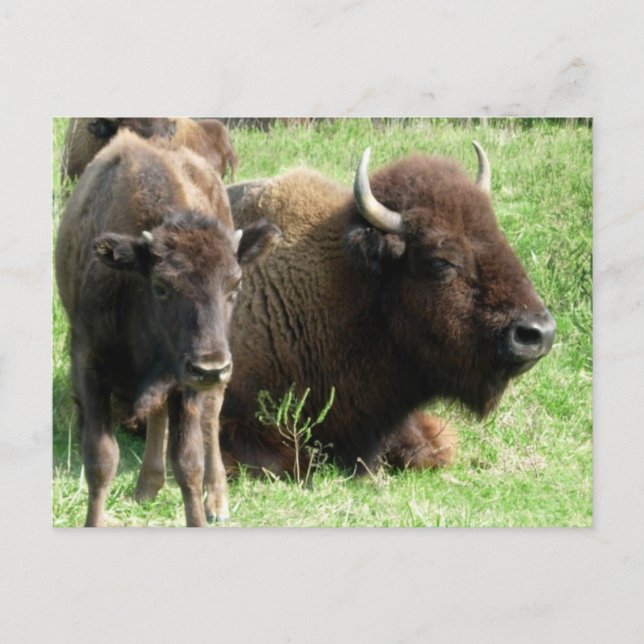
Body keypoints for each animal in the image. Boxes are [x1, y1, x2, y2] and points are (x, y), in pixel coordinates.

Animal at [55, 129, 280, 526]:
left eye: (234, 284)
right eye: (161, 286)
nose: (211, 367)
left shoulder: (187, 381)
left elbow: (189, 461)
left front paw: (200, 516)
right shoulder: (89, 363)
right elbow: (101, 459)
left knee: (210, 418)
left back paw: (217, 500)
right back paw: (147, 485)